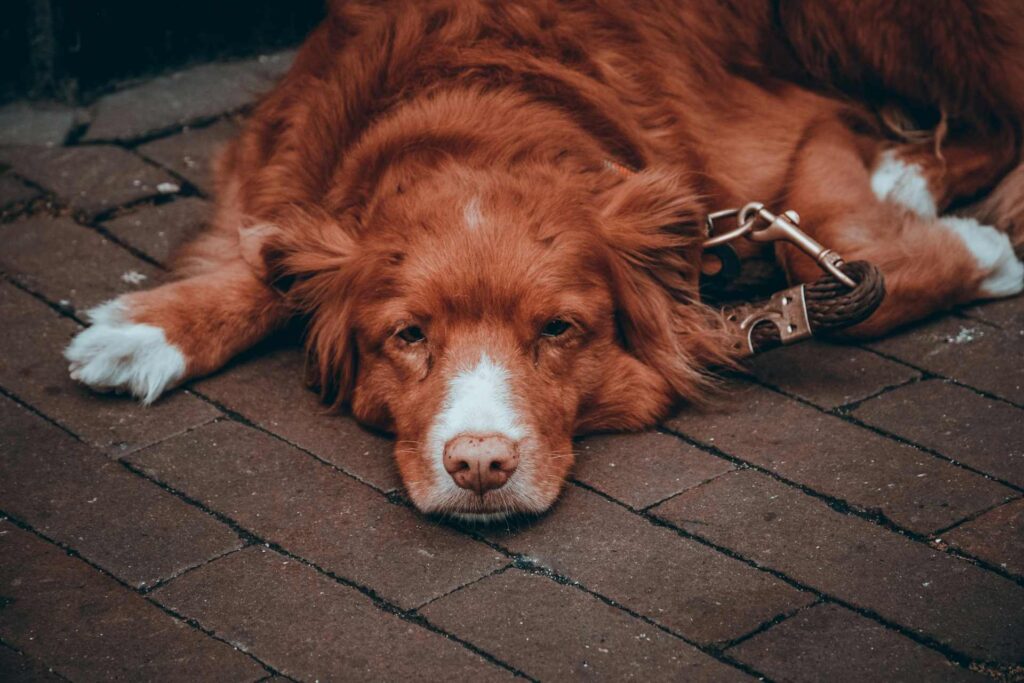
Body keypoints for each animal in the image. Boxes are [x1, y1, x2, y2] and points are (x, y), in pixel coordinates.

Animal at [66, 0, 1024, 520]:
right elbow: (270, 256)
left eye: (560, 329)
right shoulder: (270, 167)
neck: (472, 110)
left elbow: (836, 250)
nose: (479, 465)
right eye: (407, 336)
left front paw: (981, 250)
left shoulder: (789, 126)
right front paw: (148, 329)